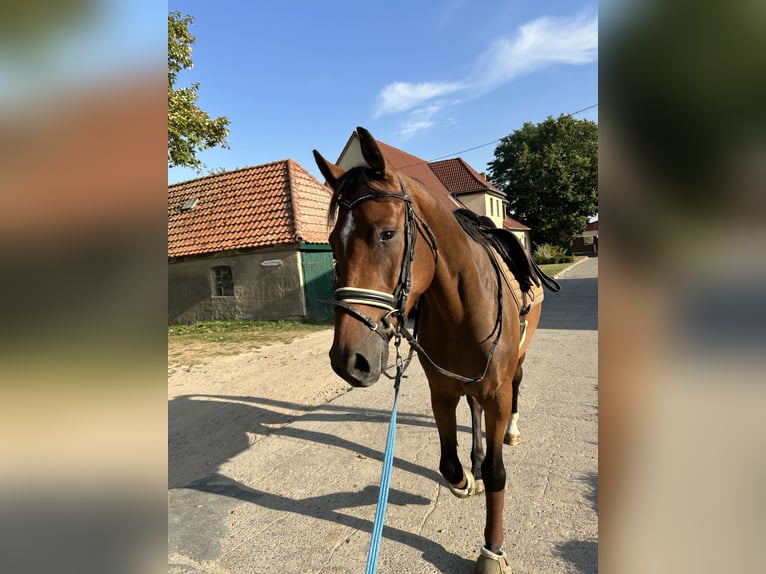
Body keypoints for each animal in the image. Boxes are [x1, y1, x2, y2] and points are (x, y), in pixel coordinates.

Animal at [316, 128, 548, 572]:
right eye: (333, 242)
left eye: (387, 233)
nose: (348, 360)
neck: (463, 307)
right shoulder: (441, 391)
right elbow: (448, 463)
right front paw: (467, 479)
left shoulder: (496, 394)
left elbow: (497, 472)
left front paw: (492, 549)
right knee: (472, 410)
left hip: (517, 365)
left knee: (518, 388)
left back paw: (511, 433)